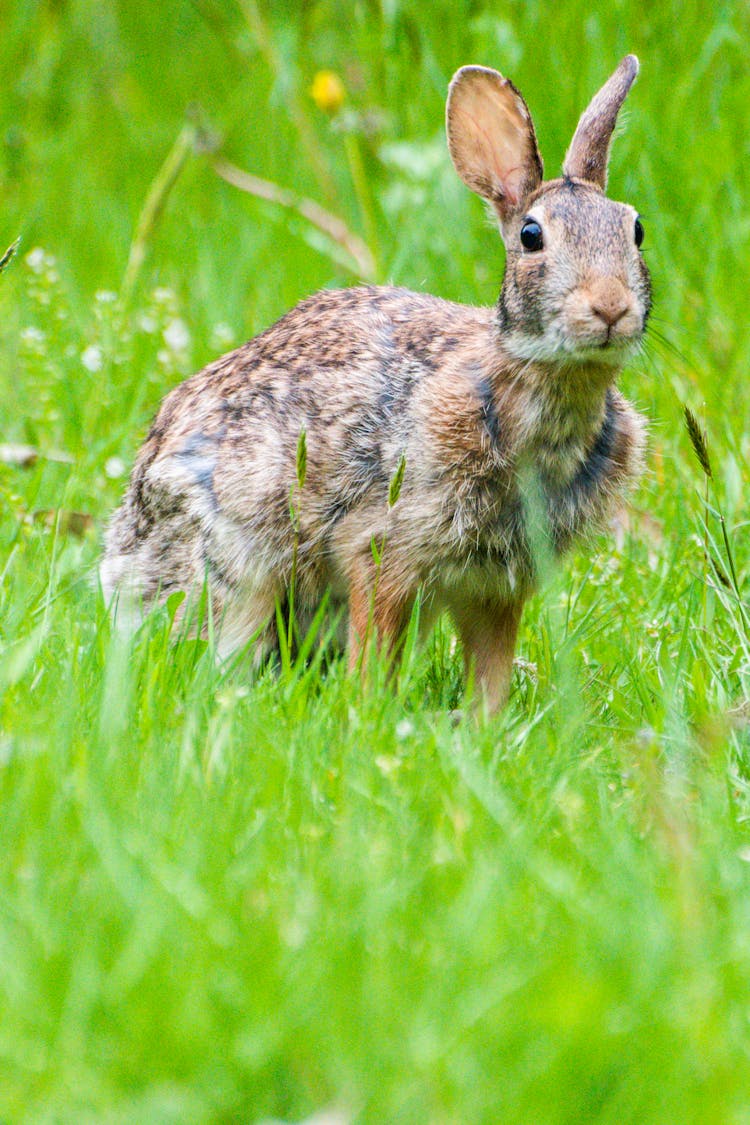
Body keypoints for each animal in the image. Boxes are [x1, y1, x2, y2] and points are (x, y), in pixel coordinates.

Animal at [101, 54, 652, 711]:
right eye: (531, 236)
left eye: (636, 230)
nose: (610, 307)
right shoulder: (382, 546)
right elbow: (376, 638)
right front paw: (368, 711)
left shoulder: (497, 584)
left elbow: (490, 664)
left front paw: (486, 722)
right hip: (238, 559)